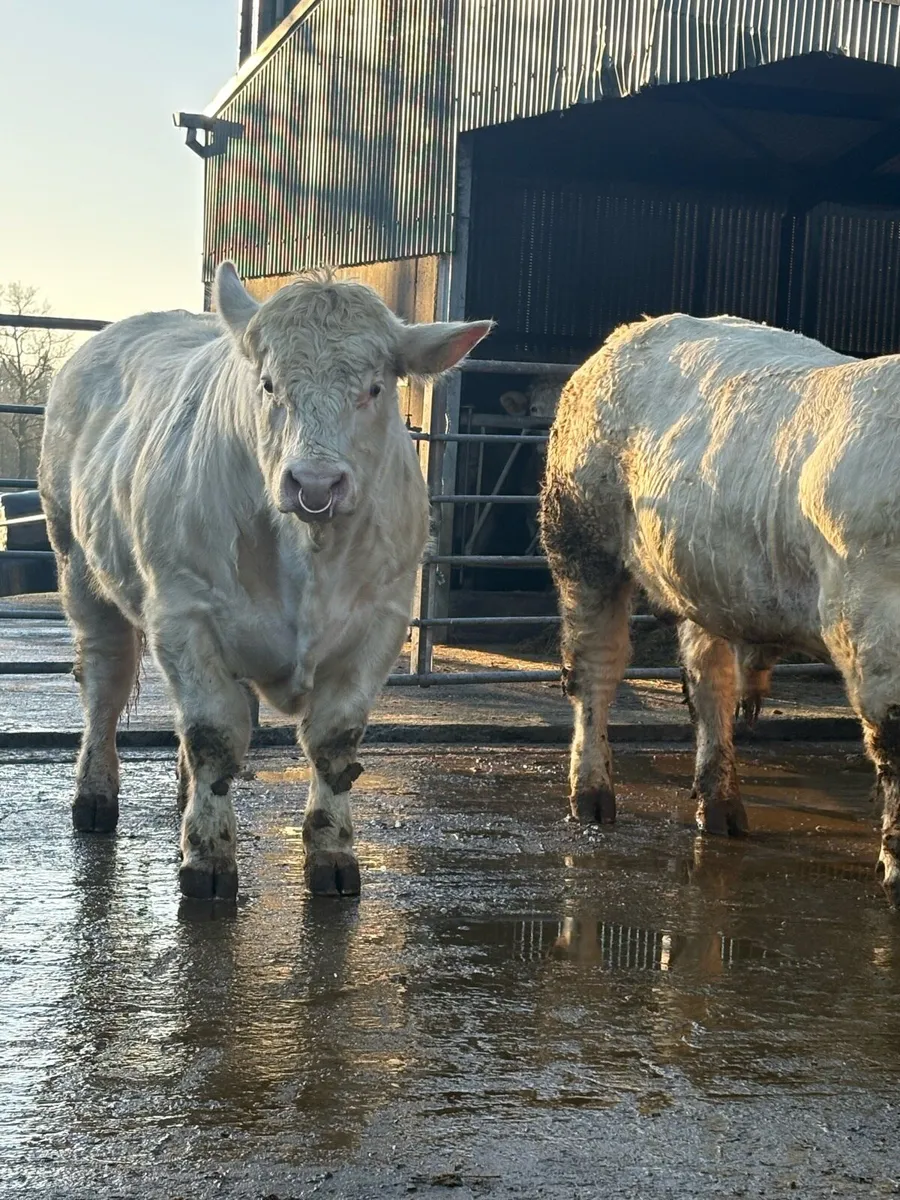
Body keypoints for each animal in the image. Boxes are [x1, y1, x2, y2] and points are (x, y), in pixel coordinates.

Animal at [39, 263, 492, 901]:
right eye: (270, 385)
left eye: (375, 388)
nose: (316, 483)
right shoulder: (184, 611)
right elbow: (213, 734)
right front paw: (207, 858)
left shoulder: (382, 619)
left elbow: (333, 742)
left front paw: (333, 853)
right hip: (78, 567)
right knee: (105, 682)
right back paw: (95, 795)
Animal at [540, 312, 900, 907]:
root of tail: (629, 333)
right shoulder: (873, 629)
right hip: (581, 542)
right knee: (596, 672)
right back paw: (591, 795)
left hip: (702, 580)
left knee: (710, 684)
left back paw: (721, 805)